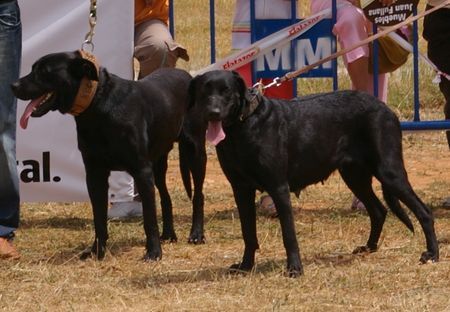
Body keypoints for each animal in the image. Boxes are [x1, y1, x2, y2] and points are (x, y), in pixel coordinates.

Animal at [11, 51, 207, 260]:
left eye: (43, 71)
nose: (13, 85)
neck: (96, 105)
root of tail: (188, 76)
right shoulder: (95, 173)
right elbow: (99, 217)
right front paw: (97, 251)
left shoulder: (141, 171)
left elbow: (149, 217)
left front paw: (153, 252)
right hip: (158, 163)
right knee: (166, 198)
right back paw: (169, 235)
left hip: (195, 151)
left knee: (198, 195)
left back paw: (196, 234)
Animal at [189, 70, 440, 276]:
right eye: (205, 91)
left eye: (226, 91)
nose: (213, 113)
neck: (243, 127)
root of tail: (385, 108)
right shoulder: (241, 189)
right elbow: (248, 233)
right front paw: (245, 266)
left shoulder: (279, 188)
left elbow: (289, 234)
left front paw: (294, 268)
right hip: (354, 176)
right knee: (378, 210)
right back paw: (369, 247)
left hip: (389, 171)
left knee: (424, 212)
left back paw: (432, 255)